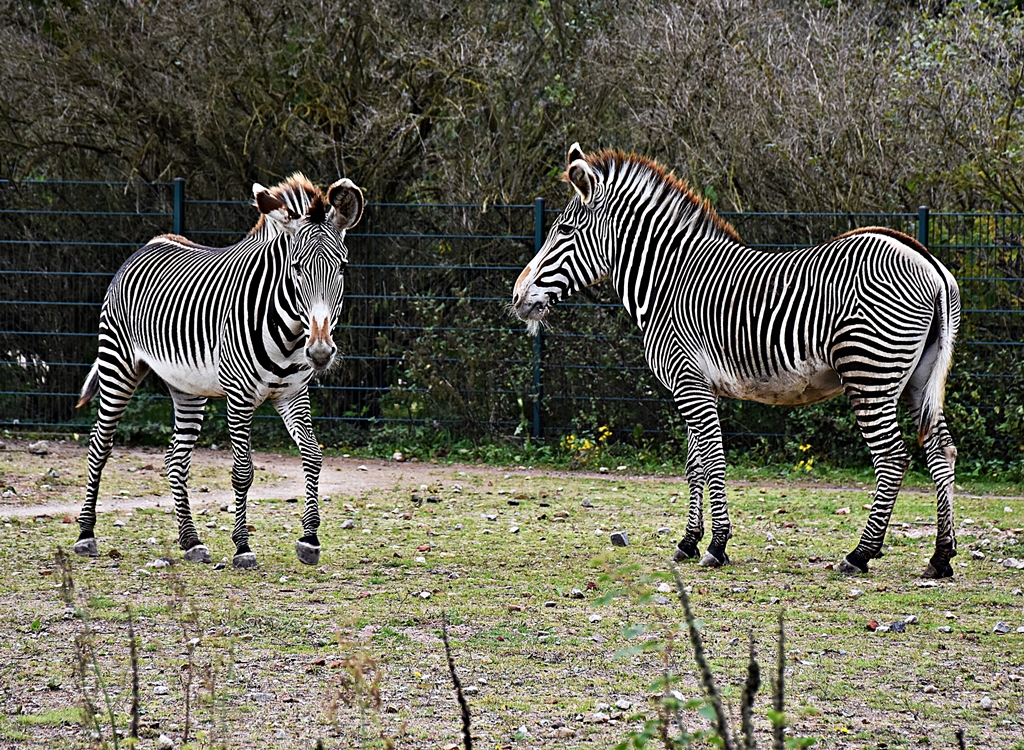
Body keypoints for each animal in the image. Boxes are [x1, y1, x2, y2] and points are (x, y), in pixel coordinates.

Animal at [73, 174, 364, 569]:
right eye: (296, 268)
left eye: (342, 267)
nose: (319, 351)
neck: (290, 332)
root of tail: (154, 240)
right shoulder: (239, 395)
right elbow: (242, 471)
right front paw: (242, 547)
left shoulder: (292, 394)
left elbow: (313, 456)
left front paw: (309, 538)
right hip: (117, 363)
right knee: (99, 446)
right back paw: (86, 535)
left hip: (186, 387)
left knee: (176, 459)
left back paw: (191, 541)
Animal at [513, 144, 961, 578]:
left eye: (565, 231)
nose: (517, 298)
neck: (668, 279)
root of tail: (931, 263)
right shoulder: (696, 386)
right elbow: (694, 465)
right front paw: (688, 542)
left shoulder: (688, 380)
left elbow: (712, 460)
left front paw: (716, 546)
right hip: (916, 379)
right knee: (942, 449)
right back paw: (941, 556)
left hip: (870, 374)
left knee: (893, 458)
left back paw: (860, 554)